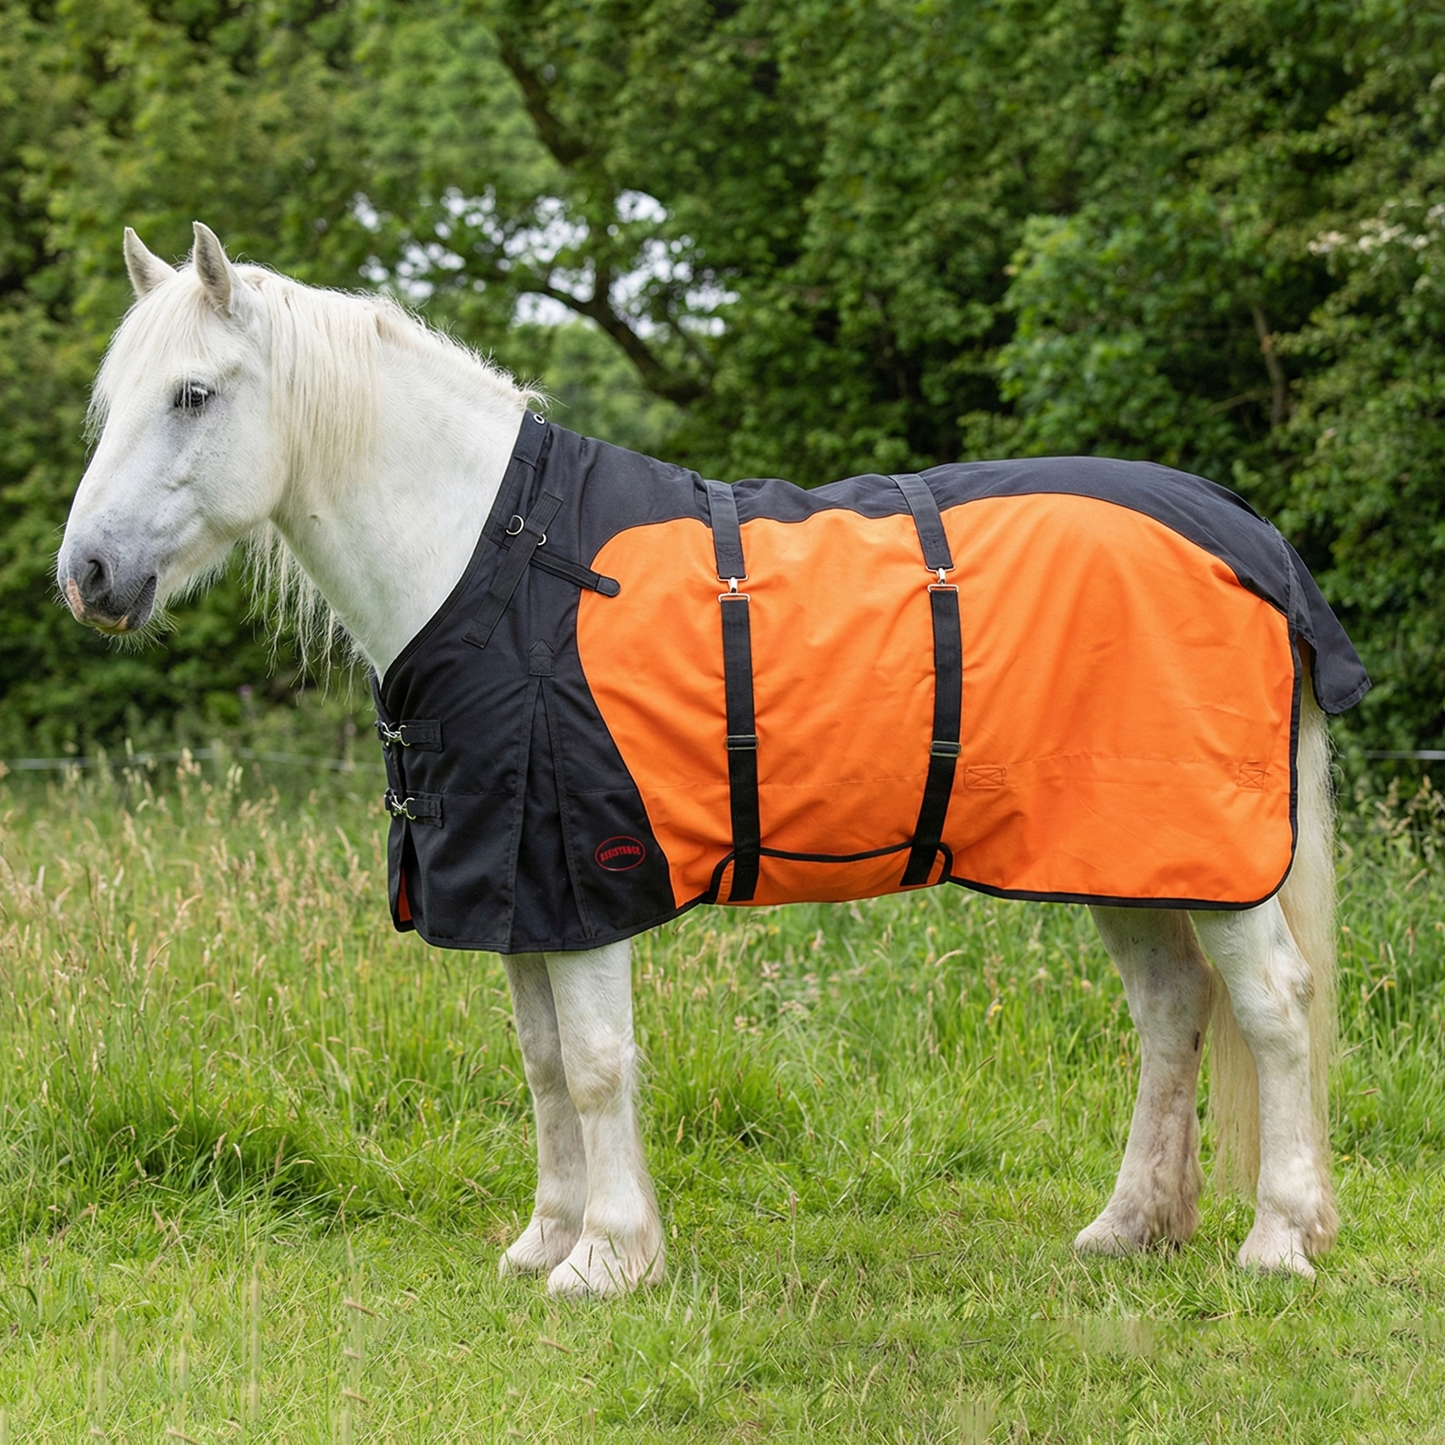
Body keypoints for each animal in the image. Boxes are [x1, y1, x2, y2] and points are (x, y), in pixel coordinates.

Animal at [58, 222, 1356, 1297]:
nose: (88, 576)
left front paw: (605, 1256)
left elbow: (592, 1062)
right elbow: (541, 1063)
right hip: (1123, 852)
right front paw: (545, 1236)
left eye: (192, 394)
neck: (501, 565)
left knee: (1272, 1005)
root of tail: (1248, 538)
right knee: (1171, 1008)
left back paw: (1278, 1238)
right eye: (110, 401)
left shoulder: (582, 874)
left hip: (1210, 852)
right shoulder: (513, 888)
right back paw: (1132, 1225)